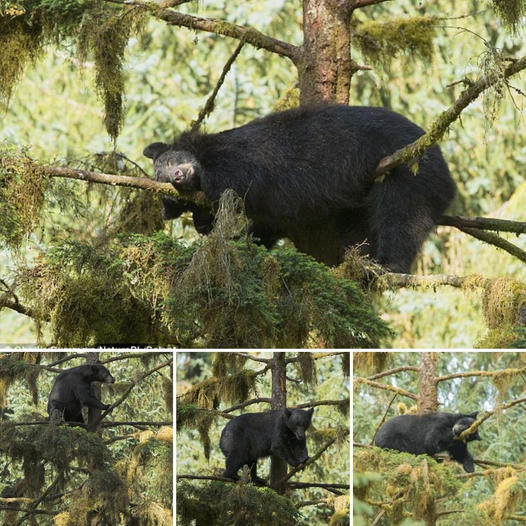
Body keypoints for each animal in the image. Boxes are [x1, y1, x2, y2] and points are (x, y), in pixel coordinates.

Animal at [144, 105, 458, 274]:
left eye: (169, 163)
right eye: (161, 180)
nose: (177, 177)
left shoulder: (241, 164)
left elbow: (239, 187)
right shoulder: (273, 208)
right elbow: (267, 225)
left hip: (411, 166)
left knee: (402, 213)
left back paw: (388, 265)